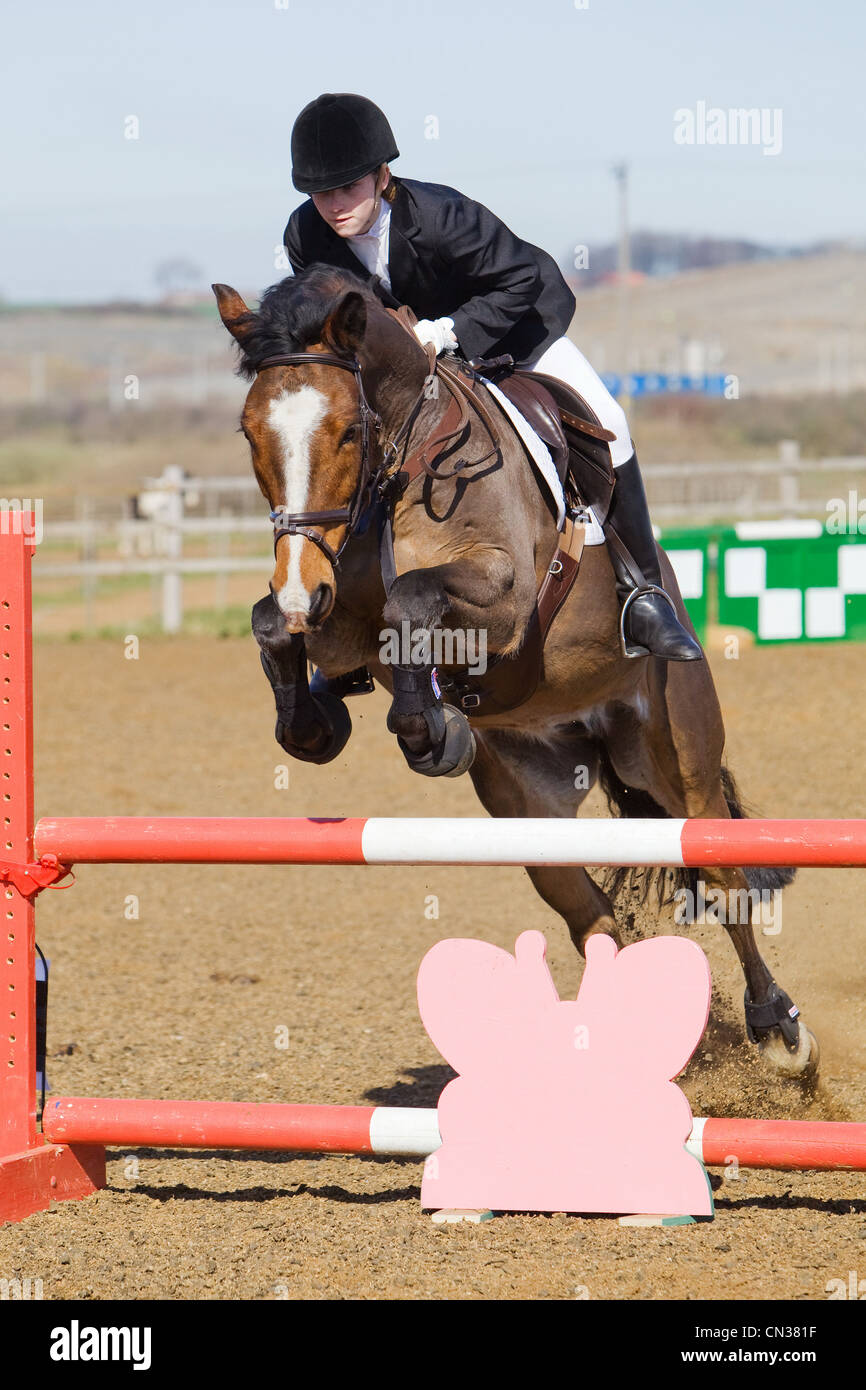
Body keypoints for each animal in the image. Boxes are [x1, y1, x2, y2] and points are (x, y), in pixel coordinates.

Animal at [213, 264, 817, 1080]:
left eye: (347, 431)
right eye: (251, 434)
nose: (304, 587)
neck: (403, 467)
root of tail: (593, 733)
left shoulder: (501, 598)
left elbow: (411, 597)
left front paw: (431, 730)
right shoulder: (340, 613)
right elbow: (275, 621)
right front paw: (318, 721)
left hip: (677, 756)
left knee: (724, 883)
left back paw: (777, 1030)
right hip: (531, 801)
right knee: (589, 917)